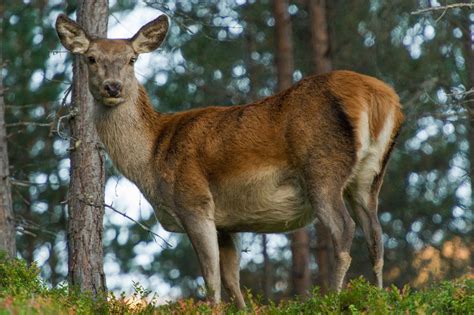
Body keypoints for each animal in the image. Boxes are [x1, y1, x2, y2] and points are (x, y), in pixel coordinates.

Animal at [55, 13, 404, 310]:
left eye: (132, 59)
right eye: (91, 58)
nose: (112, 87)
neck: (152, 157)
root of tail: (379, 98)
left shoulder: (194, 201)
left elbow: (211, 278)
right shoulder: (226, 222)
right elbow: (232, 279)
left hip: (322, 168)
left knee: (344, 229)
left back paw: (331, 299)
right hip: (370, 176)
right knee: (376, 235)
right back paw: (379, 298)